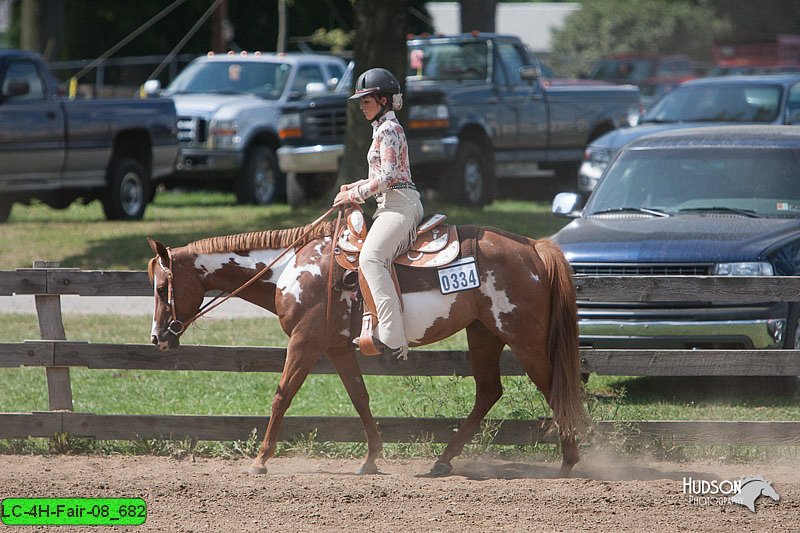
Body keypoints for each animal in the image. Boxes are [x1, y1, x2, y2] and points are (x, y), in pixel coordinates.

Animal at [148, 210, 588, 476]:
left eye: (161, 286)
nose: (158, 338)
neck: (291, 267)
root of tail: (535, 247)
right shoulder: (337, 347)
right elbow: (359, 397)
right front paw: (372, 458)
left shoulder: (305, 342)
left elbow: (282, 394)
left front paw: (260, 460)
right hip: (484, 333)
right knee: (488, 392)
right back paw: (442, 461)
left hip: (523, 338)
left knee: (555, 388)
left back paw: (570, 461)